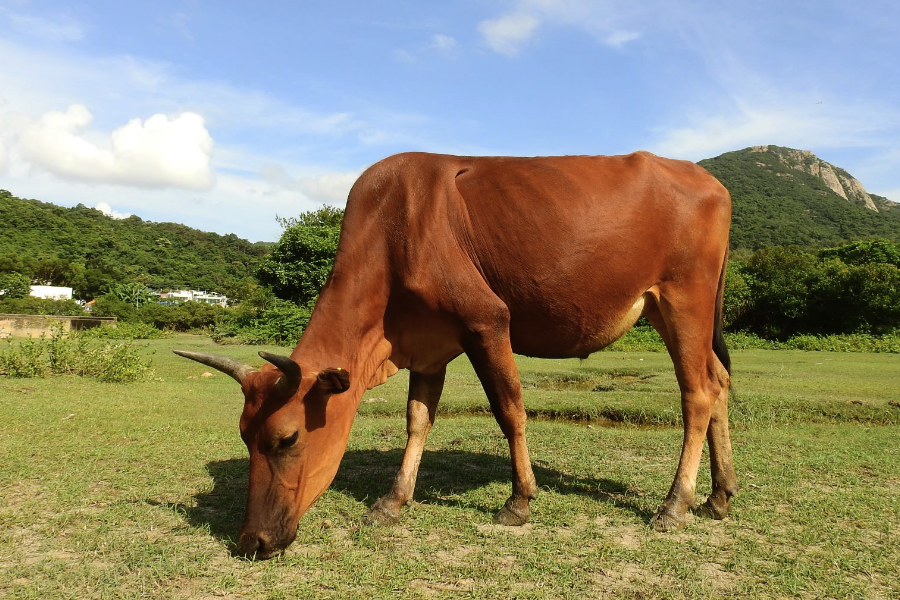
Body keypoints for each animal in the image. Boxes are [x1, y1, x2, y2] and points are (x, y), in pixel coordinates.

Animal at [174, 150, 732, 556]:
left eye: (287, 438)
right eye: (244, 436)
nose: (252, 541)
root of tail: (708, 179)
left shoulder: (487, 321)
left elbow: (510, 411)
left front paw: (519, 500)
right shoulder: (427, 347)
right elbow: (417, 420)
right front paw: (393, 500)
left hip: (685, 300)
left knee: (697, 394)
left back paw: (675, 504)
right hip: (679, 312)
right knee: (720, 382)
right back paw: (719, 495)